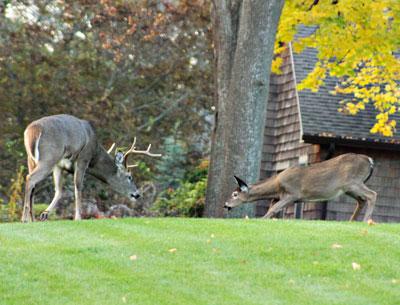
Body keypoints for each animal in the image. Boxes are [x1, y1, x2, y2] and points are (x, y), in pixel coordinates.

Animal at [21, 113, 161, 221]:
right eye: (129, 176)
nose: (137, 194)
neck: (95, 154)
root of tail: (33, 131)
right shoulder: (83, 157)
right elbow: (78, 186)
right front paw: (78, 217)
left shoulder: (59, 165)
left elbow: (59, 191)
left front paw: (44, 214)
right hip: (49, 156)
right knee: (30, 178)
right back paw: (24, 218)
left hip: (32, 159)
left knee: (33, 185)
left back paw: (32, 218)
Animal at [223, 152, 376, 221]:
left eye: (234, 194)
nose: (225, 205)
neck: (276, 186)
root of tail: (369, 160)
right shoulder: (279, 197)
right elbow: (272, 208)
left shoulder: (293, 194)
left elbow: (274, 208)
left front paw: (261, 220)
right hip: (349, 188)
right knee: (362, 200)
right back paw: (351, 221)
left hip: (353, 182)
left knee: (372, 194)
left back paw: (366, 221)